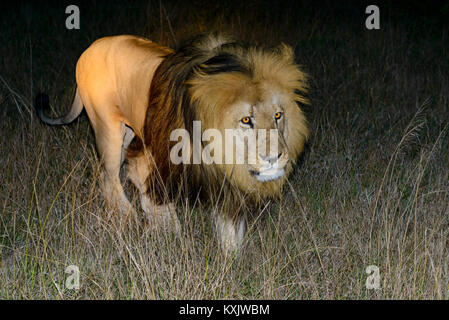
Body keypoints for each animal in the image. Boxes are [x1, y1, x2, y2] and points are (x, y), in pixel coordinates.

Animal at [34, 33, 308, 252]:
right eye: (246, 119)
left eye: (278, 115)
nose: (274, 158)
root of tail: (90, 48)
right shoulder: (155, 156)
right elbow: (153, 194)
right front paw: (169, 232)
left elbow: (229, 221)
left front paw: (231, 257)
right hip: (108, 130)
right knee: (108, 176)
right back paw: (127, 217)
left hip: (128, 131)